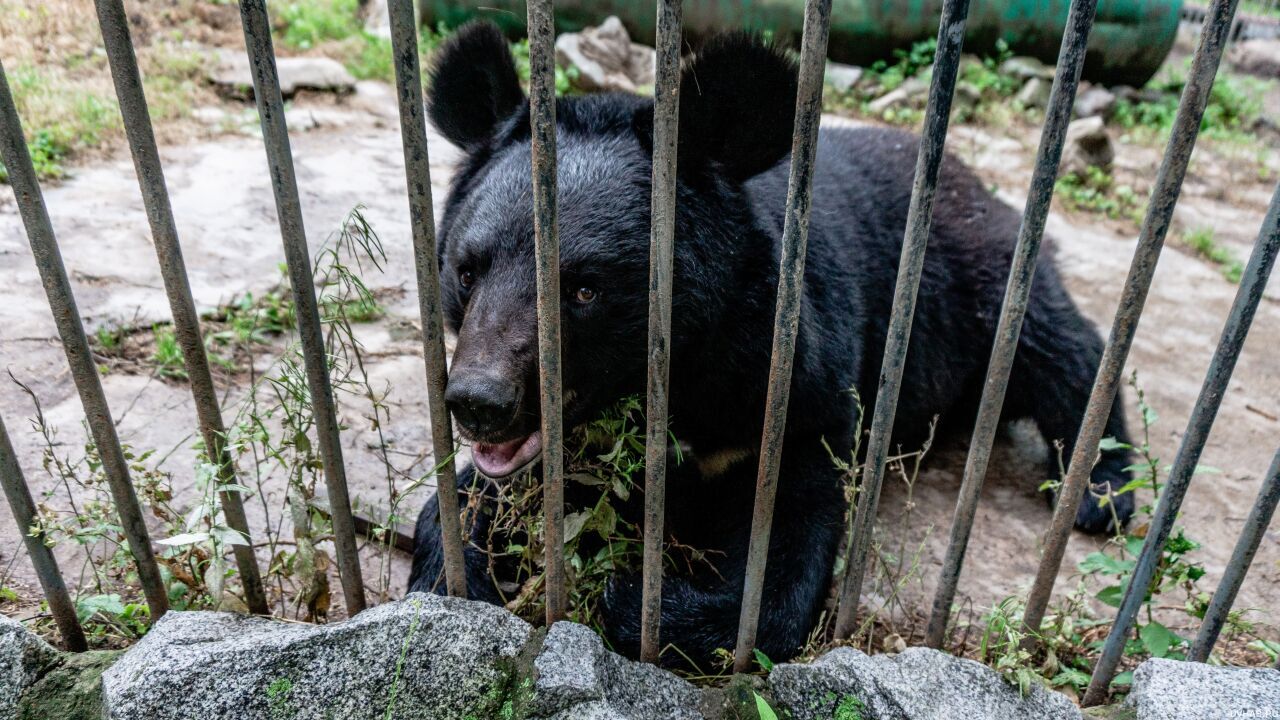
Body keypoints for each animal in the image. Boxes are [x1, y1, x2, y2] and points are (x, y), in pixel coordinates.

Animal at [407, 20, 1131, 661]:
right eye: (466, 271)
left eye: (584, 290)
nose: (478, 403)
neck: (679, 379)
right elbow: (467, 501)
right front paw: (462, 573)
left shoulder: (793, 380)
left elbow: (783, 551)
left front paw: (641, 598)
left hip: (981, 276)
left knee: (1061, 352)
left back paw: (1102, 493)